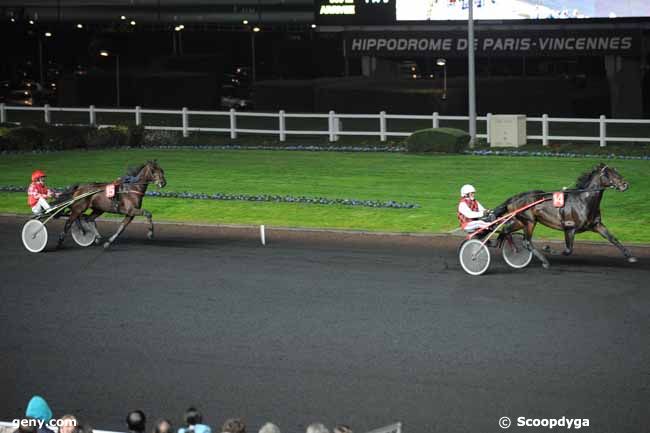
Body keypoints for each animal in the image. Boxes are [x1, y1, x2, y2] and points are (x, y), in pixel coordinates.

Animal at [492, 164, 632, 268]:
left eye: (617, 172)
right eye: (608, 174)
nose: (625, 184)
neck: (583, 200)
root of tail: (513, 198)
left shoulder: (596, 225)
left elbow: (613, 239)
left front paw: (630, 256)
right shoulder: (569, 228)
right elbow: (568, 250)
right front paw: (548, 248)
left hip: (521, 221)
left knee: (506, 229)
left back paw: (499, 244)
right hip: (529, 221)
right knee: (526, 242)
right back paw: (544, 261)